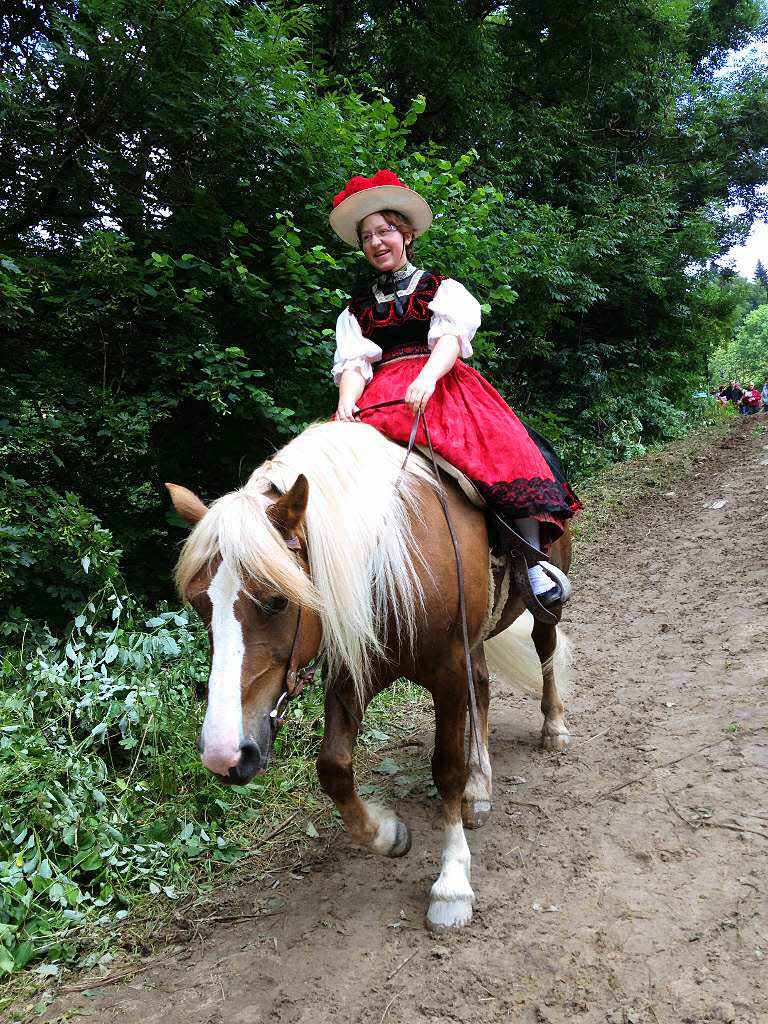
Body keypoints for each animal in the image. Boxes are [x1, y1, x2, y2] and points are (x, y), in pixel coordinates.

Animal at [166, 419, 573, 933]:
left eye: (277, 600)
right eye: (201, 606)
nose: (224, 755)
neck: (387, 562)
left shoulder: (448, 669)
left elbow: (446, 769)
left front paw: (452, 884)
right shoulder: (351, 677)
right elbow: (334, 768)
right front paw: (389, 833)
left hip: (542, 610)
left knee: (545, 649)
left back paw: (553, 727)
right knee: (482, 687)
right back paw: (480, 789)